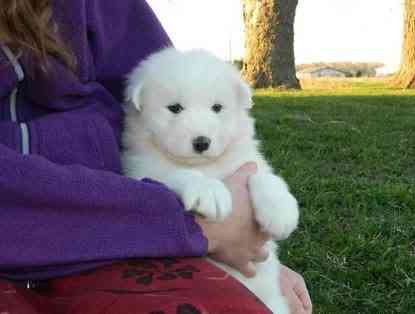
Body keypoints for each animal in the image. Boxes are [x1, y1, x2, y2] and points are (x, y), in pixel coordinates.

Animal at [122, 47, 300, 314]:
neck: (207, 165)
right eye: (175, 108)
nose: (201, 142)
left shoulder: (248, 161)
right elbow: (176, 173)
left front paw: (281, 212)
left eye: (217, 108)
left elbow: (266, 177)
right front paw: (209, 191)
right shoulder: (142, 170)